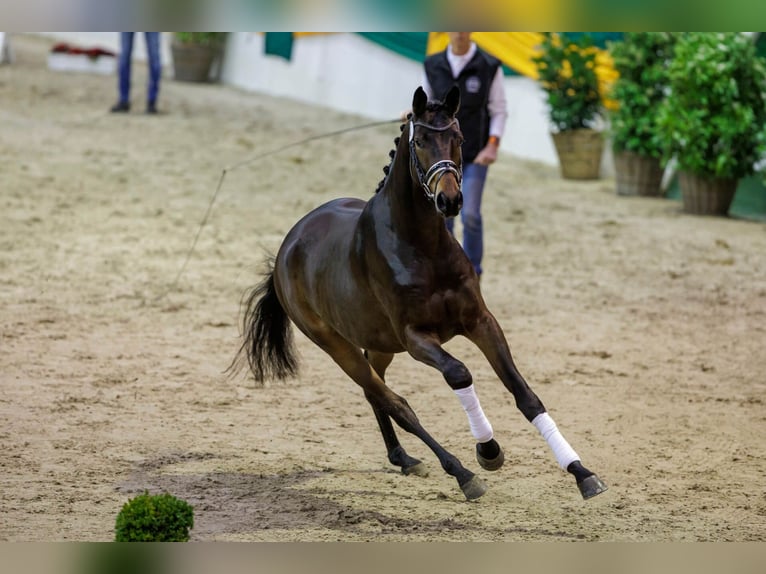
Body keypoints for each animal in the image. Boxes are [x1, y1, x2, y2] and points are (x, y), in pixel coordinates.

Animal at [231, 86, 608, 504]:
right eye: (421, 141)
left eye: (458, 138)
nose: (450, 200)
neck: (423, 247)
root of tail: (288, 246)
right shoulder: (416, 338)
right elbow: (459, 373)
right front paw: (487, 450)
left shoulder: (480, 321)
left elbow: (523, 392)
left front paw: (581, 472)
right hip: (336, 344)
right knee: (393, 401)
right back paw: (461, 473)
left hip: (380, 343)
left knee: (376, 393)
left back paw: (404, 458)